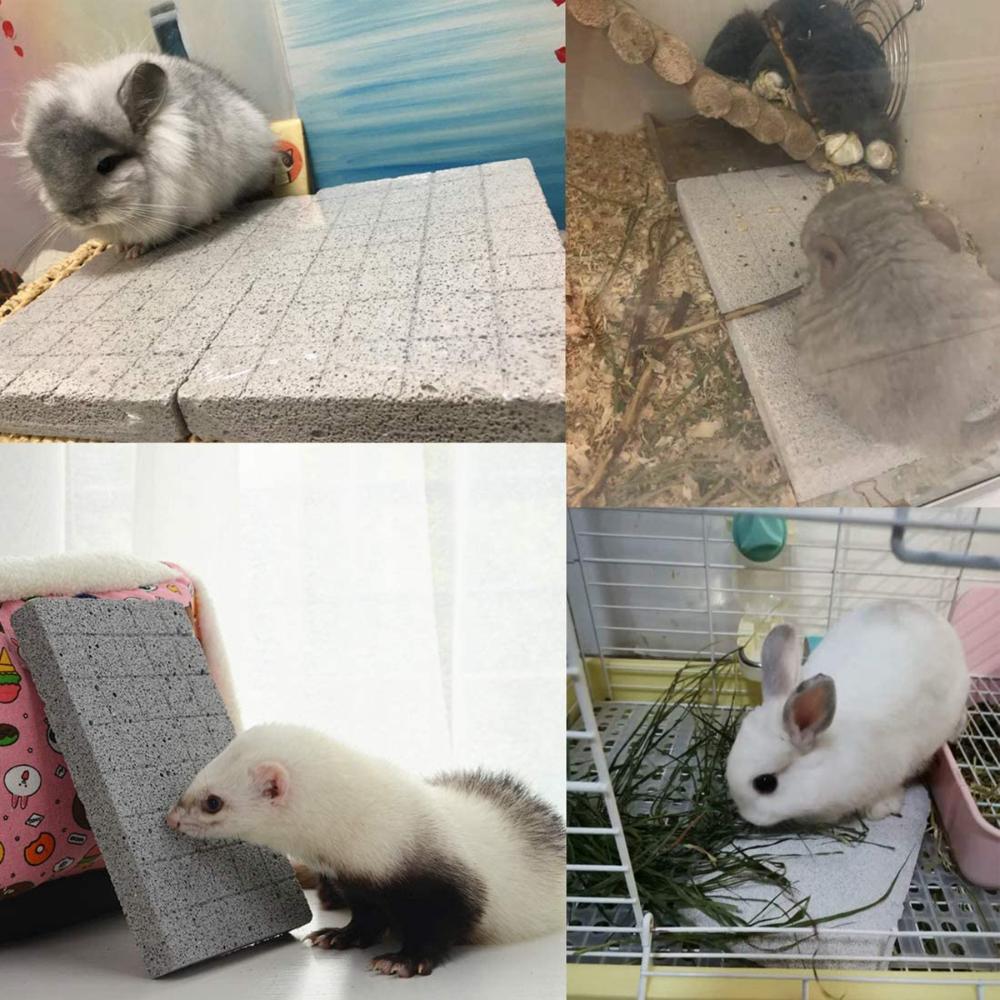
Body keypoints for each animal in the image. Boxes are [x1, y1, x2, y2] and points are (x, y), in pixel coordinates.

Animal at [166, 724, 565, 978]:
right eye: (198, 774)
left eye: (213, 801)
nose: (171, 818)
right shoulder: (356, 883)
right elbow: (367, 917)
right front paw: (339, 936)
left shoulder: (447, 888)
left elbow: (439, 926)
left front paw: (405, 960)